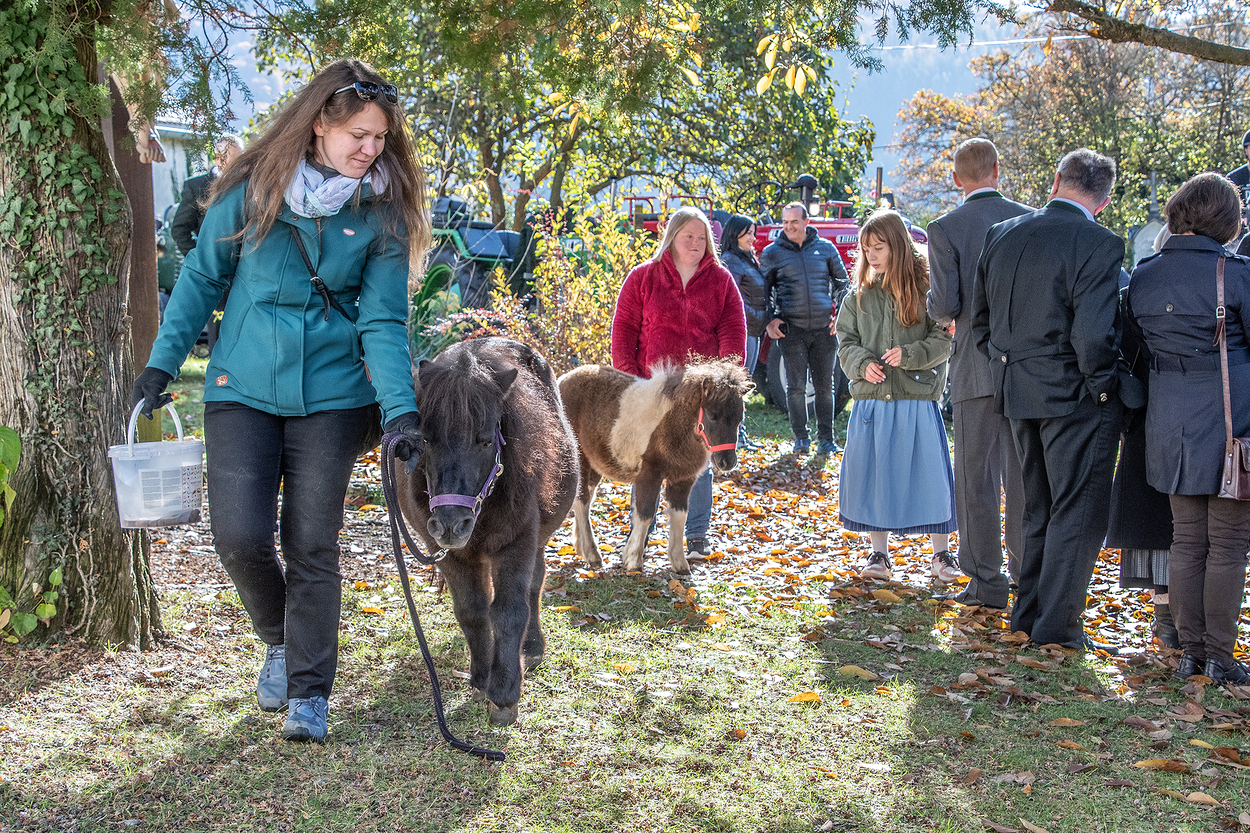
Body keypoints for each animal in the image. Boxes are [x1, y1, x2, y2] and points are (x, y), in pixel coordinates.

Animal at [395, 337, 578, 726]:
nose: (451, 524)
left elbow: (509, 612)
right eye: (427, 440)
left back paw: (531, 648)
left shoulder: (517, 544)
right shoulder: (451, 556)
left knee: (534, 587)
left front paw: (506, 692)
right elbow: (473, 612)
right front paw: (482, 678)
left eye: (483, 440)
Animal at [558, 358, 753, 575]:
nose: (727, 462)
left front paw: (680, 563)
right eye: (712, 416)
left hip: (594, 464)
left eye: (740, 418)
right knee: (582, 501)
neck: (673, 425)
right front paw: (633, 560)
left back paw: (582, 549)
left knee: (584, 499)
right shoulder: (649, 475)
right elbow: (645, 513)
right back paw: (593, 555)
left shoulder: (683, 479)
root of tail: (561, 380)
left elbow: (679, 516)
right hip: (580, 459)